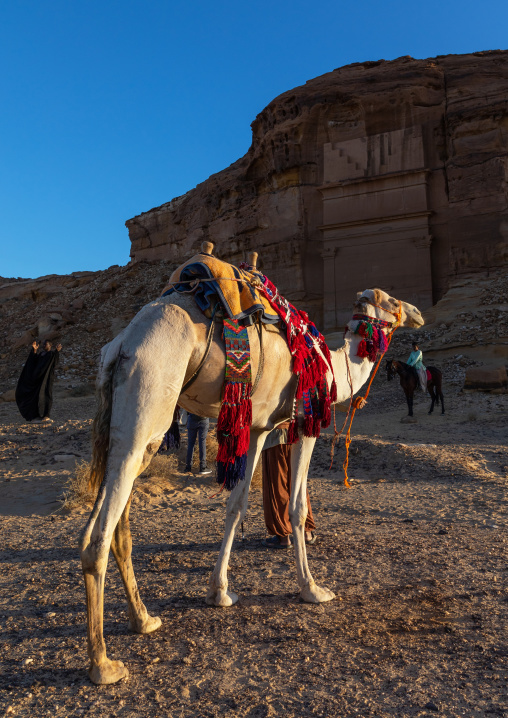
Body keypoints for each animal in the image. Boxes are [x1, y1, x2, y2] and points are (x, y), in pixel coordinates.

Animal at [79, 252, 424, 685]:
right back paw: (103, 663)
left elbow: (236, 506)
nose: (418, 313)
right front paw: (313, 589)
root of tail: (121, 343)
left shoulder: (259, 427)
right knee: (98, 537)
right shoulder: (306, 421)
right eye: (393, 301)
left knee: (115, 525)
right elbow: (297, 508)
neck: (331, 363)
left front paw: (220, 592)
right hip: (148, 398)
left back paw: (144, 620)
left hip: (134, 429)